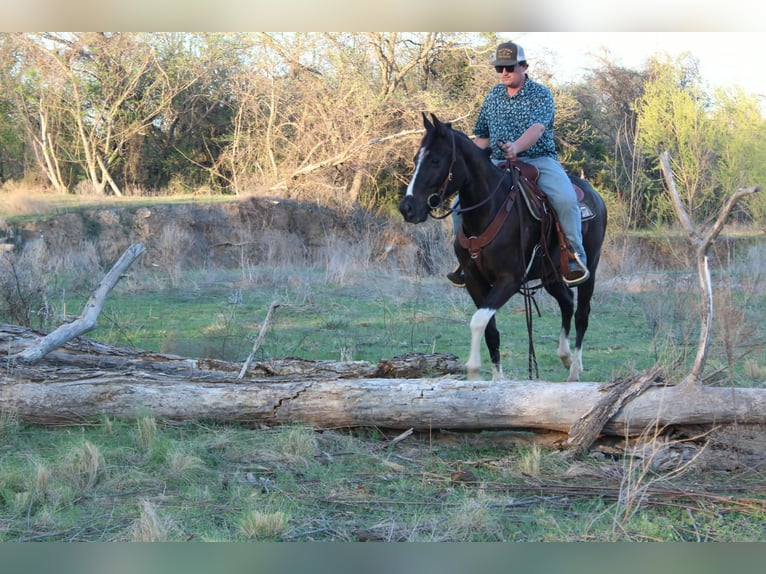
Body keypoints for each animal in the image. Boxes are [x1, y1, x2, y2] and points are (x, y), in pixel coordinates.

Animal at [398, 113, 607, 382]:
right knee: (566, 302)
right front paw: (496, 380)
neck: (489, 210)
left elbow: (478, 320)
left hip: (590, 267)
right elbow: (490, 329)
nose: (407, 208)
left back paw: (574, 370)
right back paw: (565, 356)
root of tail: (595, 196)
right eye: (416, 159)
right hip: (549, 274)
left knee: (582, 313)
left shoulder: (510, 279)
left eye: (435, 160)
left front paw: (473, 369)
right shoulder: (474, 280)